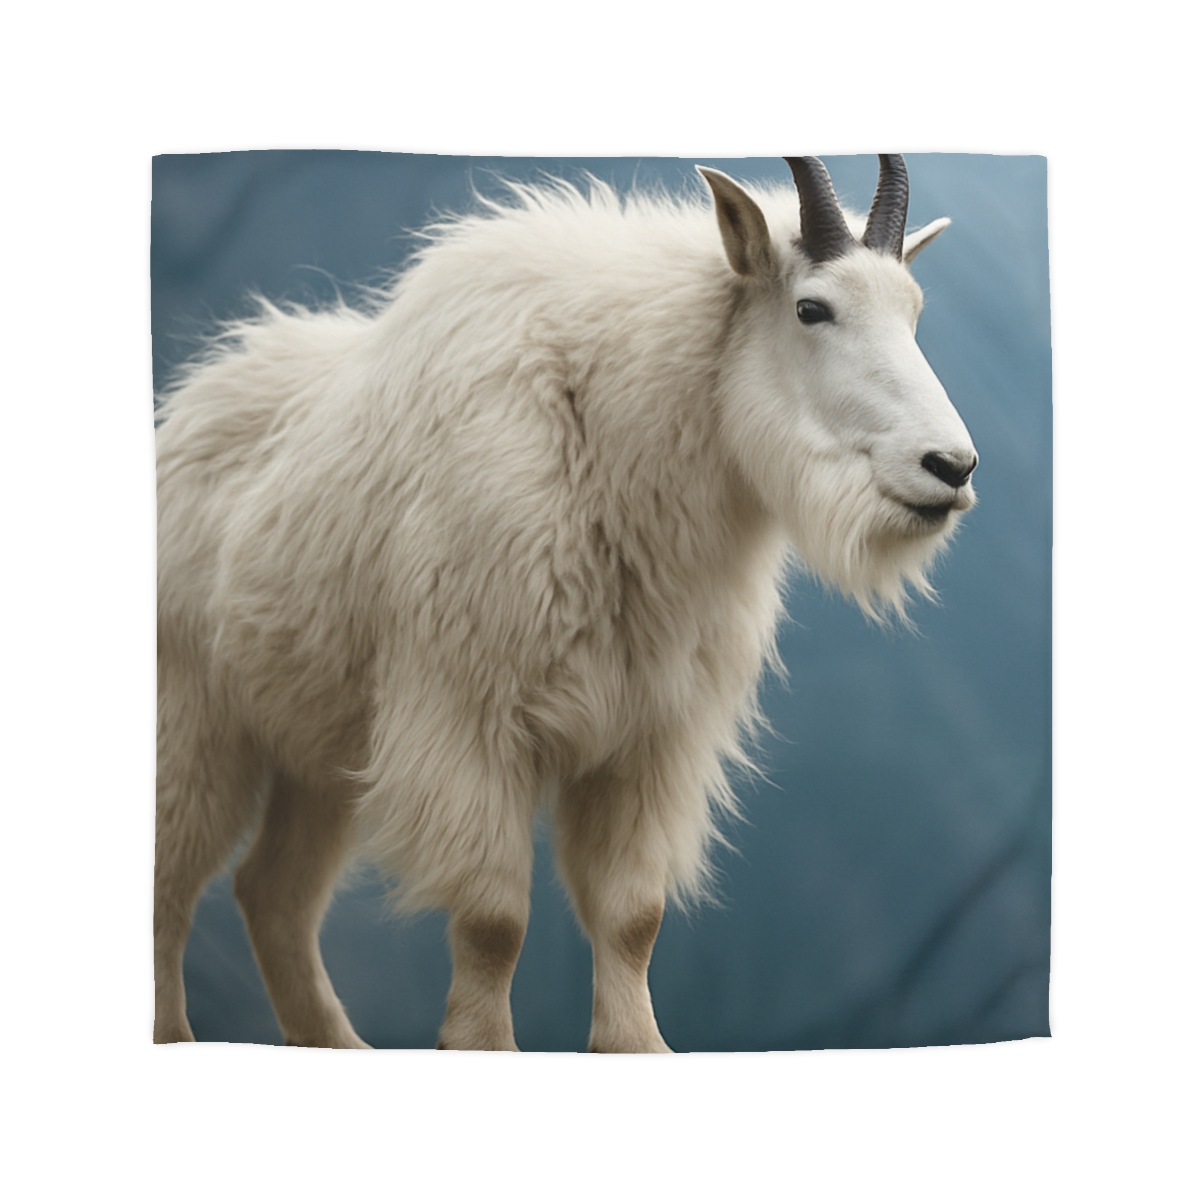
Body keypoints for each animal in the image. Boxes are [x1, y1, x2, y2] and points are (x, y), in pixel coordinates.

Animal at [154, 154, 977, 1051]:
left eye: (915, 311)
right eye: (811, 308)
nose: (951, 467)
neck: (608, 435)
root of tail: (181, 416)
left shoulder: (648, 743)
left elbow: (633, 918)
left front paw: (637, 1045)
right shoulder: (469, 722)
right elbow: (493, 923)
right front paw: (479, 1046)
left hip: (317, 753)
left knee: (273, 893)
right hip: (196, 719)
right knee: (171, 887)